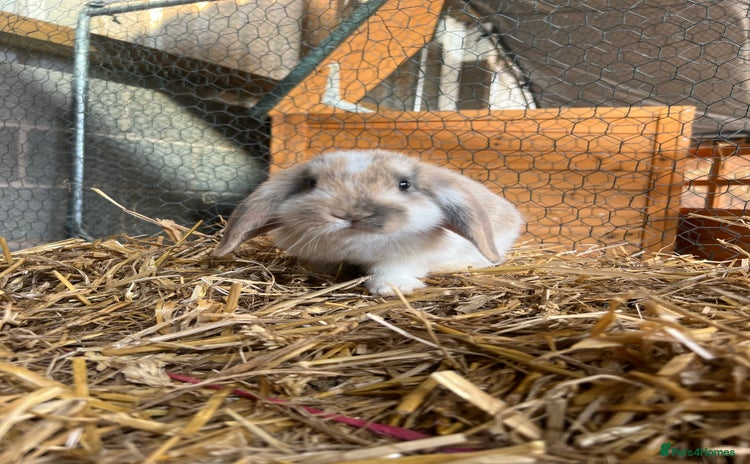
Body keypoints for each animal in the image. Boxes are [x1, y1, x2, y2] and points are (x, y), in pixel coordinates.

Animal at [212, 149, 523, 296]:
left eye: (404, 184)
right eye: (311, 183)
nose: (352, 213)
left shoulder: (408, 258)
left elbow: (394, 269)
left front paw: (391, 288)